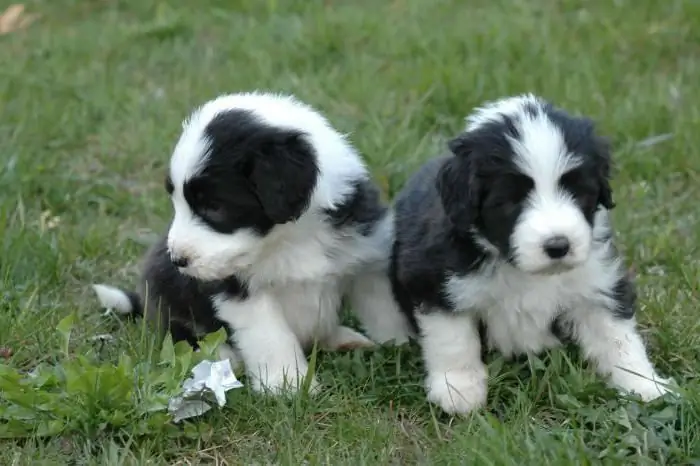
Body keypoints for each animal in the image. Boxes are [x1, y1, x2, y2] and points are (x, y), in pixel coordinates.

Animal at [91, 92, 410, 396]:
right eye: (176, 201)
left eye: (214, 207)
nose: (178, 260)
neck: (291, 239)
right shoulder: (241, 293)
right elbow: (272, 337)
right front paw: (288, 386)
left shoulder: (366, 256)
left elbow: (384, 308)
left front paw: (401, 344)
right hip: (166, 296)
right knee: (179, 335)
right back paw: (224, 356)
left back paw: (345, 339)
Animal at [392, 93, 668, 414]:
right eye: (510, 200)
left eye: (579, 192)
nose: (558, 245)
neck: (524, 272)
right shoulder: (433, 279)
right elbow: (453, 337)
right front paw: (458, 389)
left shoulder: (596, 281)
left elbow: (618, 338)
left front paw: (646, 386)